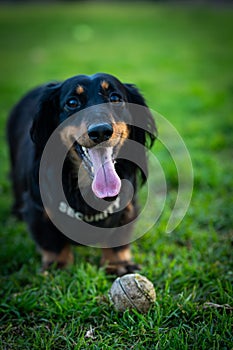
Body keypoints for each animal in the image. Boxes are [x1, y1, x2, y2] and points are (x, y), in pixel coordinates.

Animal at [6, 73, 157, 276]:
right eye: (72, 102)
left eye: (115, 98)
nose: (100, 131)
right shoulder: (37, 209)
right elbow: (51, 242)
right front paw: (57, 265)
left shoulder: (127, 207)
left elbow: (119, 238)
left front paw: (119, 263)